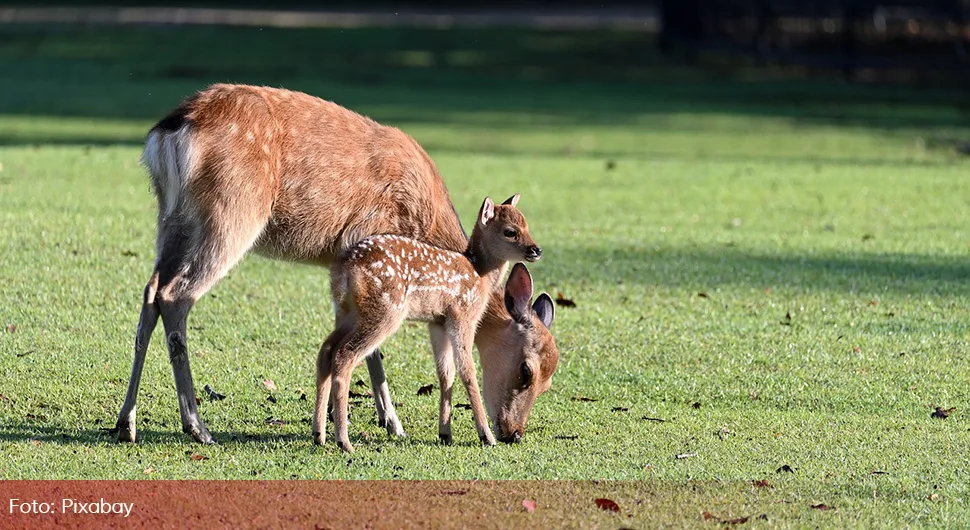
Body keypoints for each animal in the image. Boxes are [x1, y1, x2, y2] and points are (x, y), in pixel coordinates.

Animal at [114, 83, 556, 446]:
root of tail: (169, 133)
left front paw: (344, 418)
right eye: (526, 371)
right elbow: (376, 351)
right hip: (230, 212)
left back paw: (126, 423)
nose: (514, 433)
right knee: (177, 295)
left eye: (552, 379)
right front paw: (390, 422)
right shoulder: (369, 247)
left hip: (171, 218)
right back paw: (197, 426)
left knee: (152, 290)